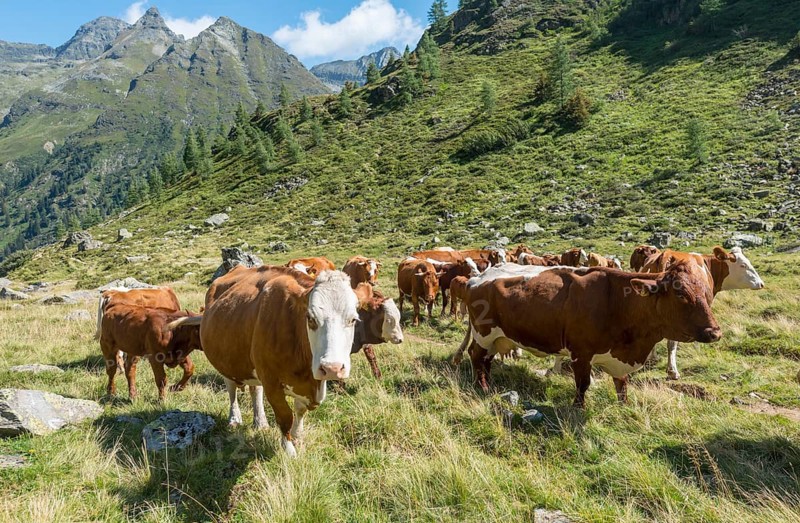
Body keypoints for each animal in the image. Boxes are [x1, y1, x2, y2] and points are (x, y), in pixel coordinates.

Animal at [175, 265, 364, 457]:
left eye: (353, 319)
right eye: (310, 318)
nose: (332, 368)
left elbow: (300, 410)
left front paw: (297, 437)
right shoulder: (271, 382)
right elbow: (285, 416)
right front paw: (289, 450)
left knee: (255, 390)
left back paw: (260, 421)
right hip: (225, 362)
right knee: (231, 389)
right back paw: (235, 418)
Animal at [452, 262, 721, 406]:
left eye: (706, 293)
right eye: (681, 295)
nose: (715, 332)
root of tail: (478, 276)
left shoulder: (618, 357)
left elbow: (622, 384)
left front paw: (624, 406)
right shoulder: (581, 353)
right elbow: (583, 384)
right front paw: (577, 407)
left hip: (498, 337)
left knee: (486, 359)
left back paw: (488, 381)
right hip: (484, 333)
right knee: (476, 355)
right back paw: (482, 386)